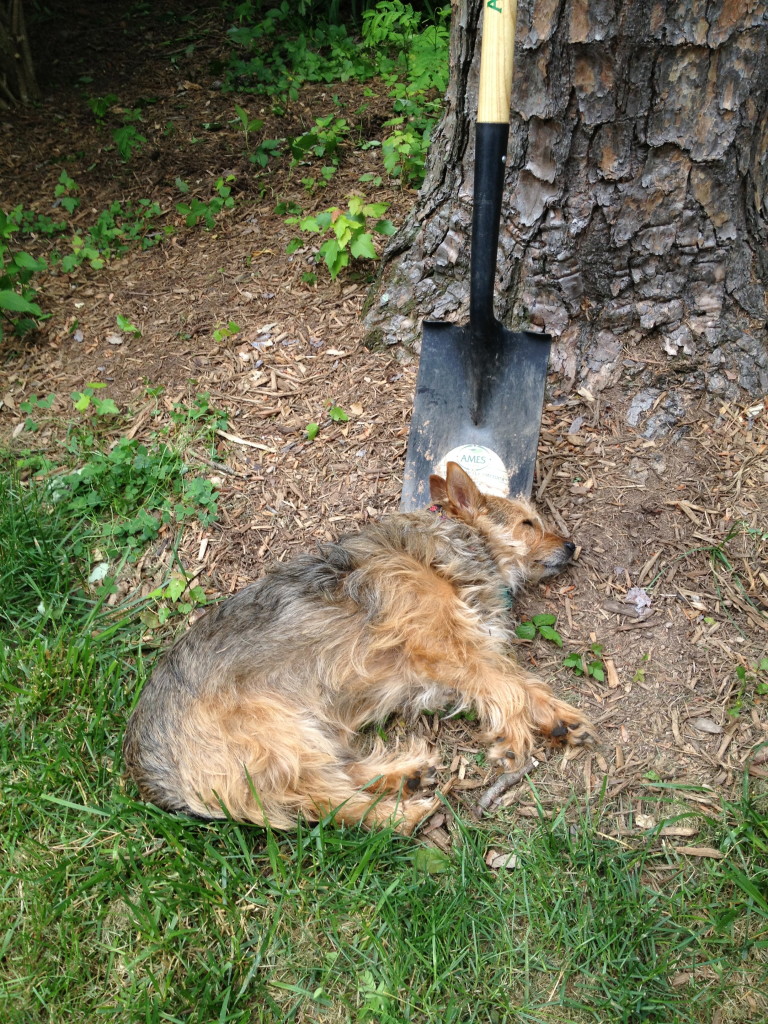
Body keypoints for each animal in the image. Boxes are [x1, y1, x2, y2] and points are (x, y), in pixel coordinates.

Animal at [124, 464, 593, 831]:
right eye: (528, 524)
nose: (572, 545)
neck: (446, 547)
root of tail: (148, 768)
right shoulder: (441, 649)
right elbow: (507, 687)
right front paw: (513, 738)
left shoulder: (468, 651)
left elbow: (517, 680)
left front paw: (559, 719)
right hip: (275, 734)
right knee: (323, 802)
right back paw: (401, 816)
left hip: (304, 732)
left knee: (339, 773)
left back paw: (404, 774)